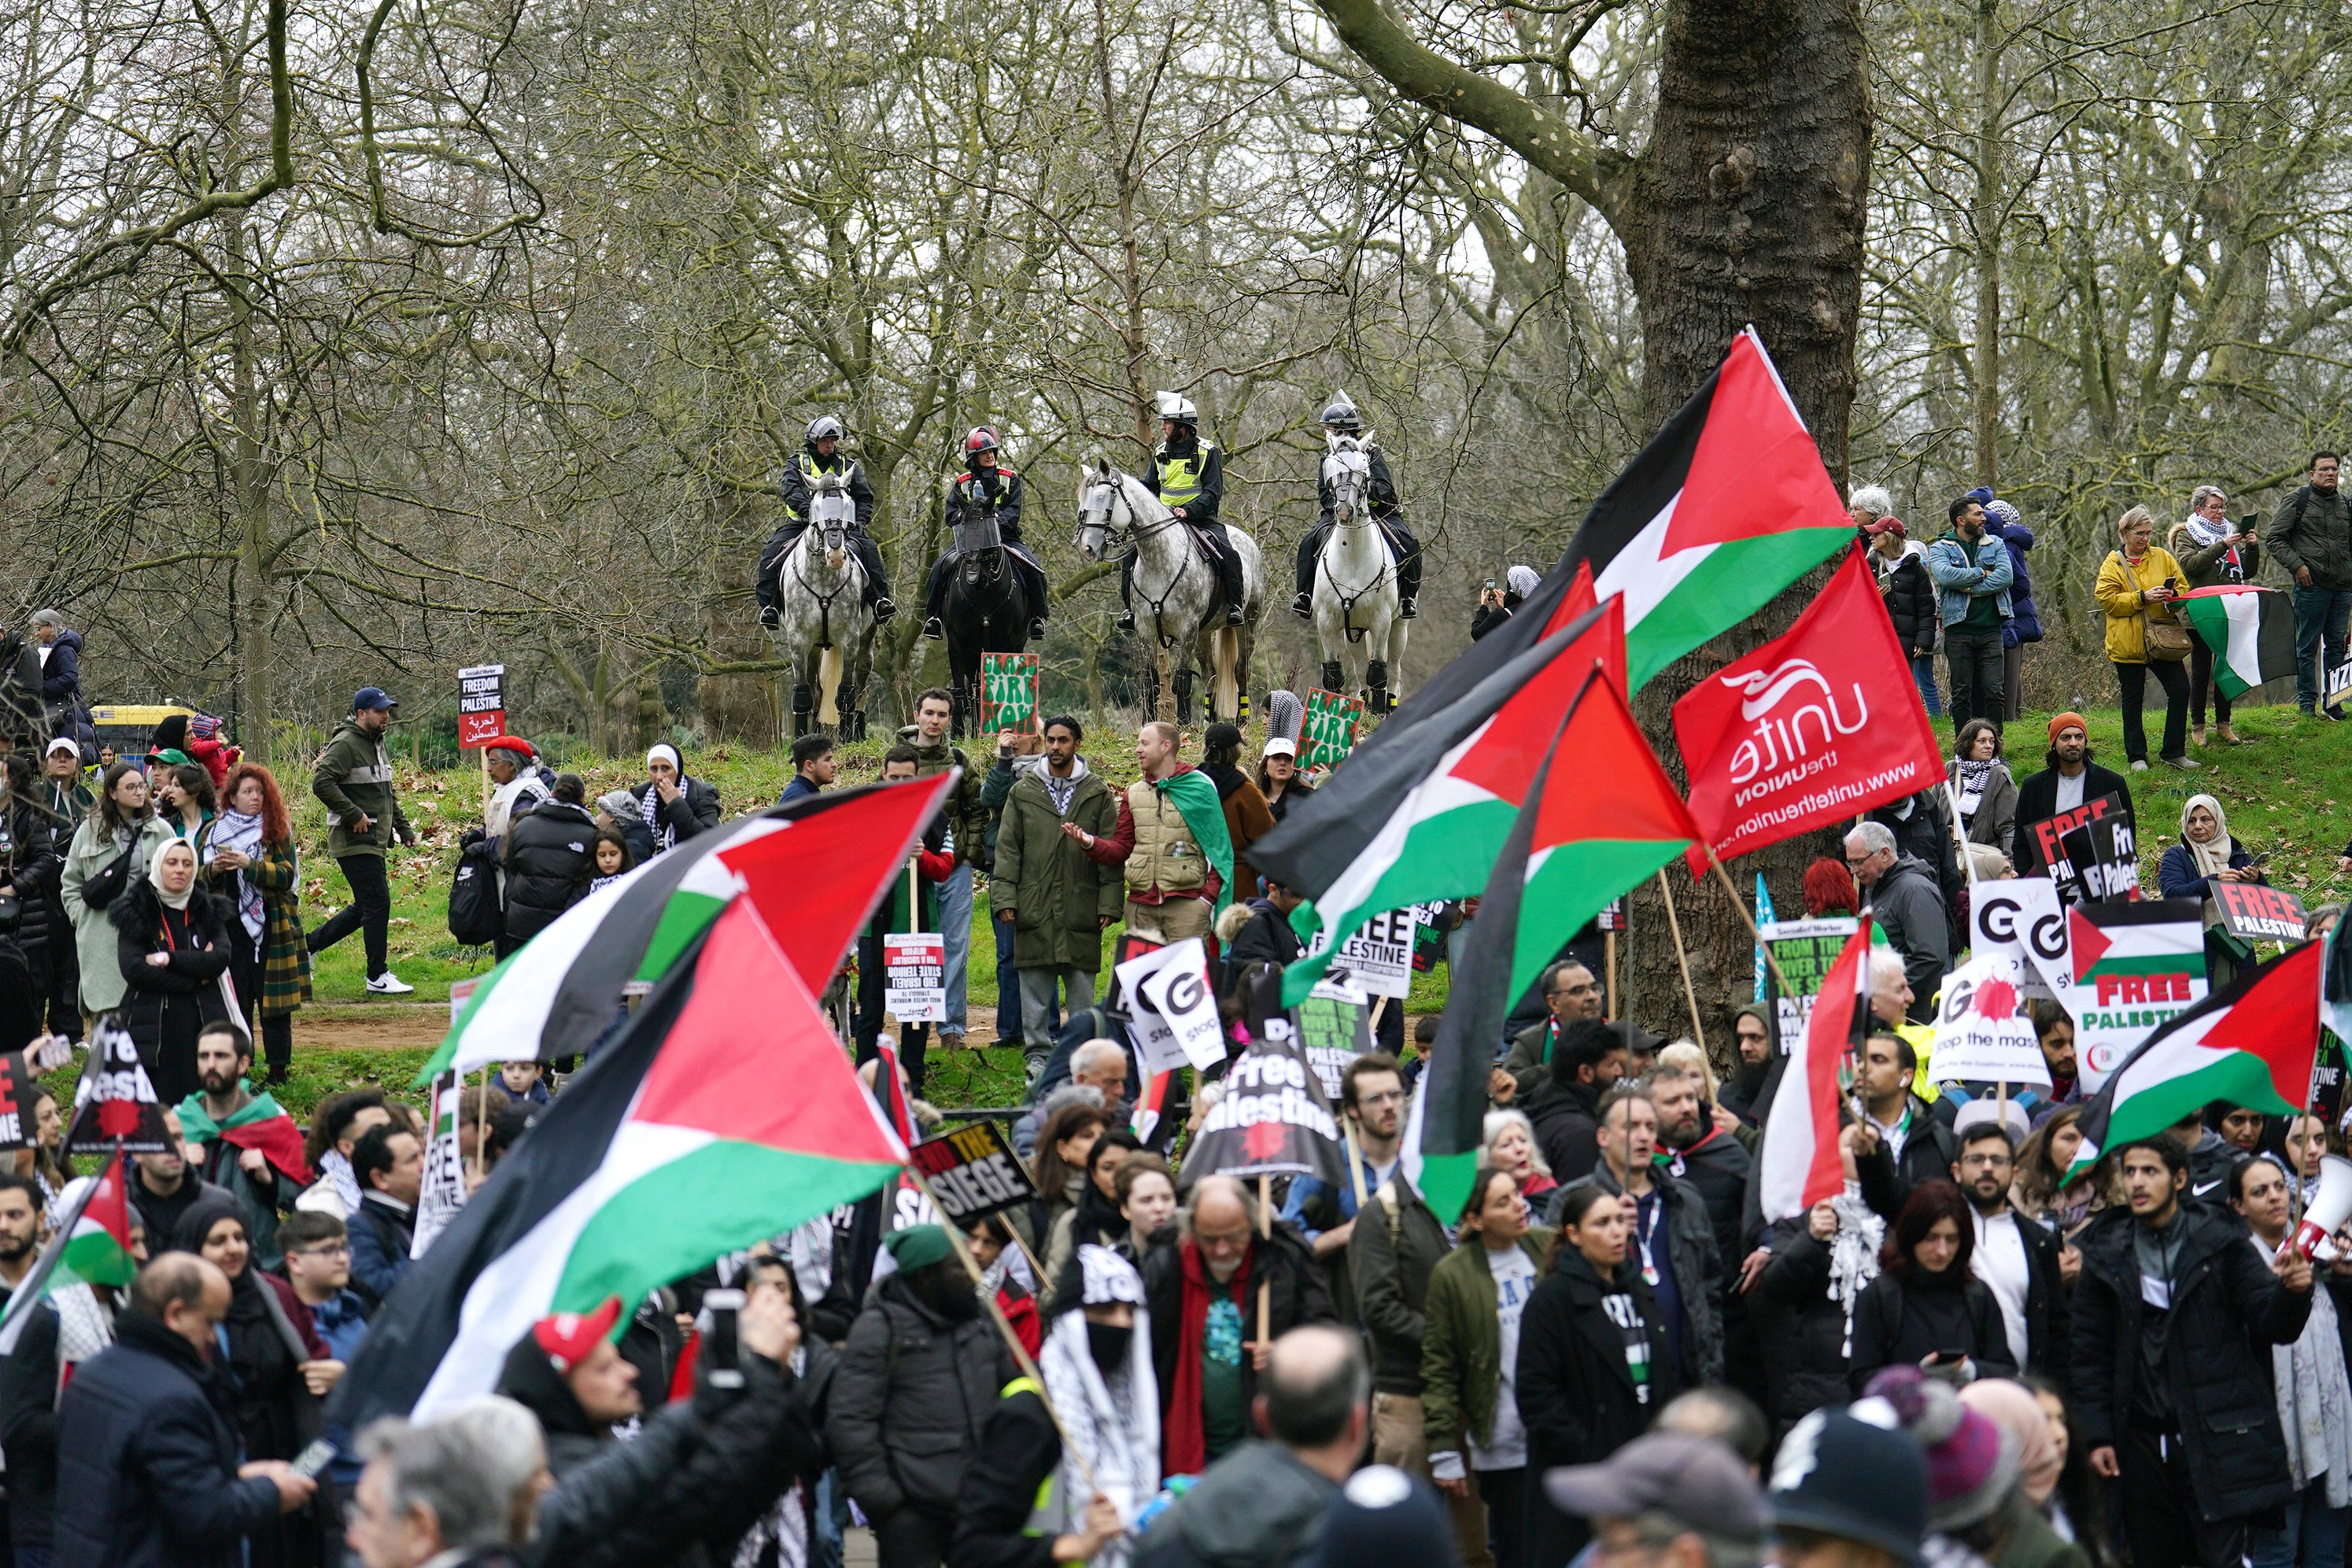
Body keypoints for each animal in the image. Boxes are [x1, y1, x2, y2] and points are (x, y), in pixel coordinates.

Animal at [940, 510, 1035, 743]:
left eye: (989, 532)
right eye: (963, 527)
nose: (974, 577)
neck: (983, 595)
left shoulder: (1007, 642)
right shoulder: (957, 643)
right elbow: (961, 689)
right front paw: (957, 735)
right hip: (973, 653)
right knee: (975, 687)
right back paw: (976, 734)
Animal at [1076, 453, 1270, 724]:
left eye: (1103, 497)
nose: (1087, 547)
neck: (1159, 560)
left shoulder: (1186, 630)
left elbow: (1182, 681)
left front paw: (1184, 724)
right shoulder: (1145, 631)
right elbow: (1151, 683)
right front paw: (1149, 723)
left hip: (1247, 623)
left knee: (1241, 669)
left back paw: (1241, 722)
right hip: (1204, 633)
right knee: (1211, 672)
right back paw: (1209, 721)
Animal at [1316, 434, 1401, 719]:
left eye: (1363, 471)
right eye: (1331, 470)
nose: (1344, 511)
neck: (1352, 554)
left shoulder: (1381, 621)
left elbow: (1378, 671)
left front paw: (1378, 713)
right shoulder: (1327, 622)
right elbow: (1333, 673)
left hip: (1399, 625)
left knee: (1393, 666)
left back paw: (1391, 704)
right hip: (1353, 626)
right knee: (1358, 662)